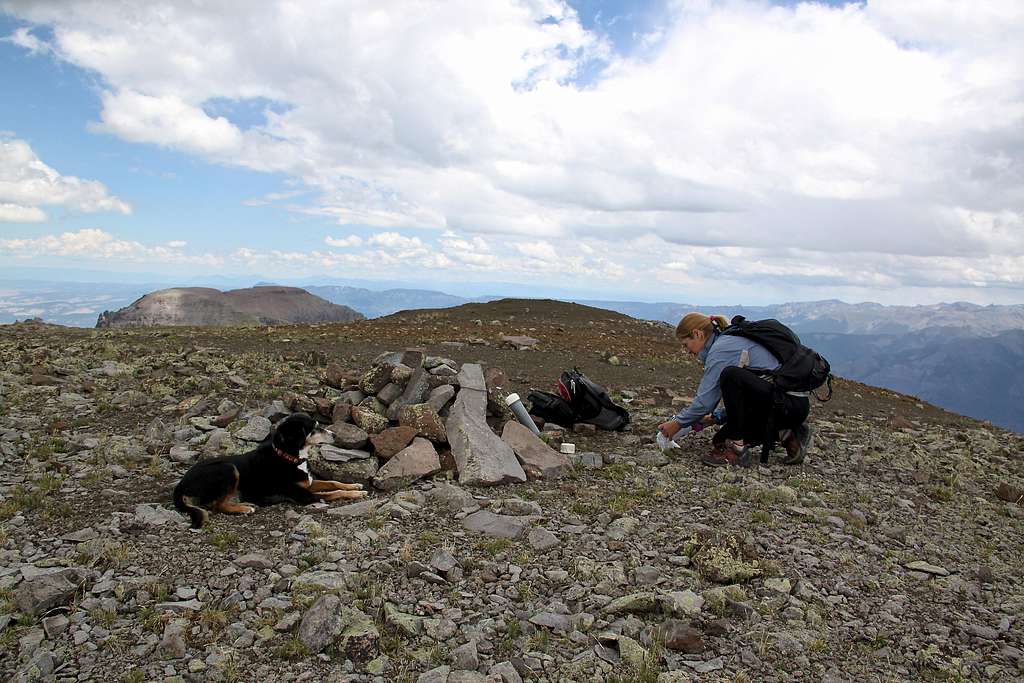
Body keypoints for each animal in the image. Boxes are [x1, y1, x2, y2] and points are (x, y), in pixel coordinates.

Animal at [173, 411, 368, 528]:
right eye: (314, 428)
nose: (335, 435)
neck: (290, 457)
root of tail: (180, 484)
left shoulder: (309, 483)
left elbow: (333, 482)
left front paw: (355, 486)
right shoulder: (305, 495)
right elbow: (334, 492)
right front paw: (356, 494)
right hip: (228, 468)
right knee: (216, 505)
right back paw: (244, 508)